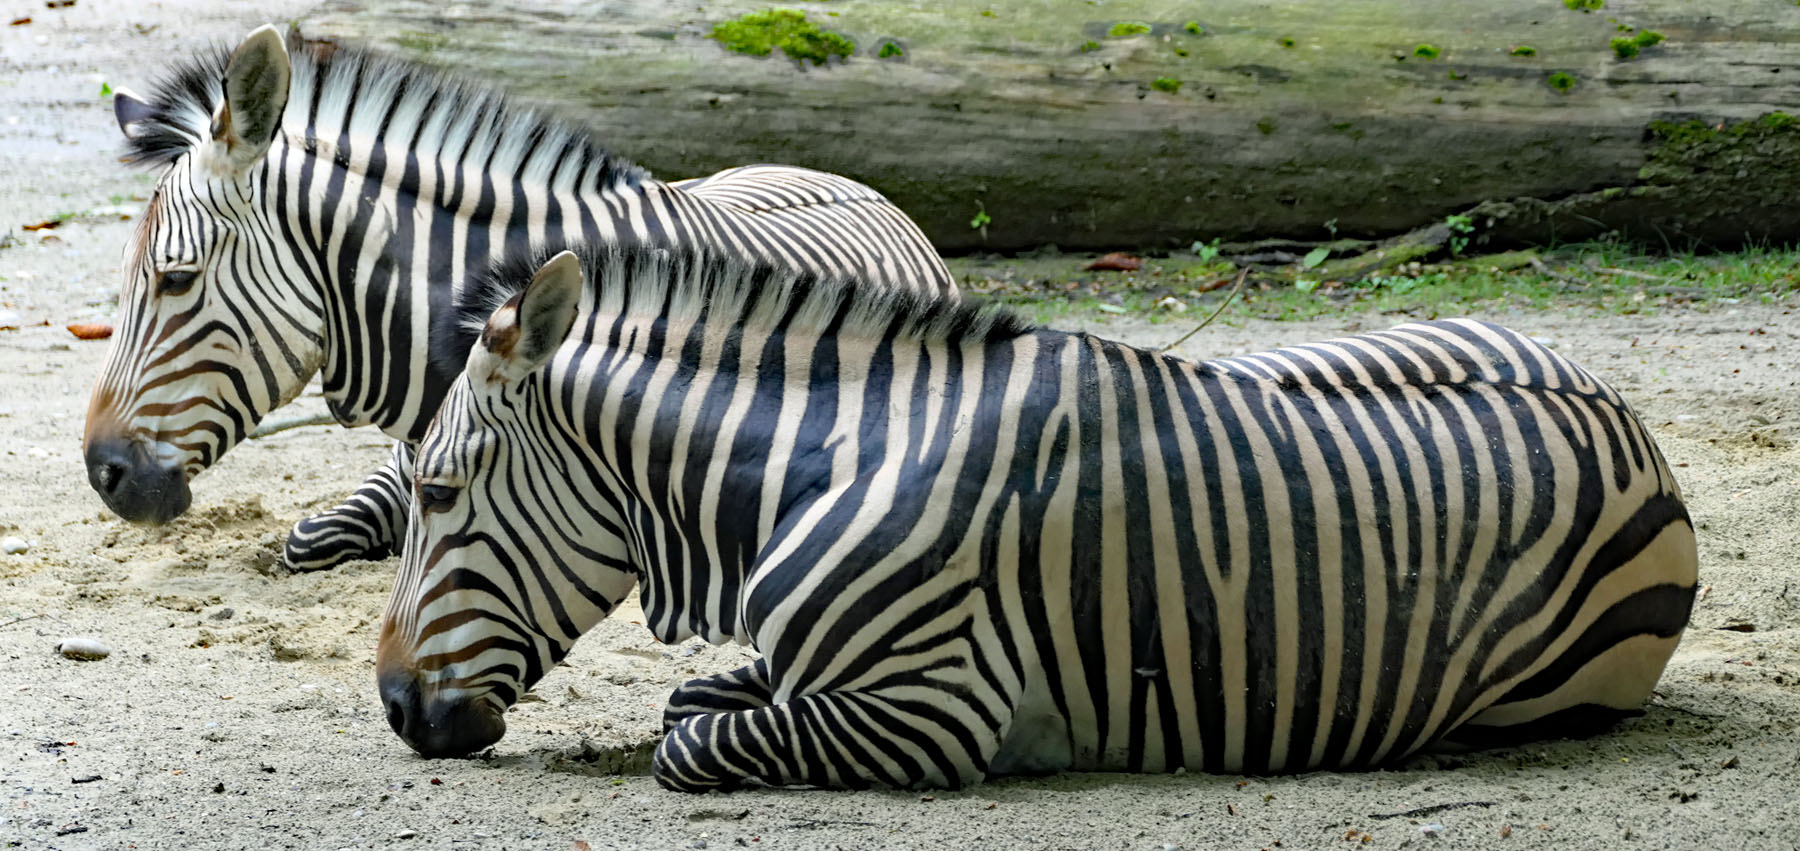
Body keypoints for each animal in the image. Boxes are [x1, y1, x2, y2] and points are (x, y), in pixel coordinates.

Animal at [376, 244, 1699, 790]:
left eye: (438, 494)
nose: (392, 707)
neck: (818, 465)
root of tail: (1631, 424)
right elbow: (702, 696)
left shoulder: (931, 707)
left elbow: (689, 741)